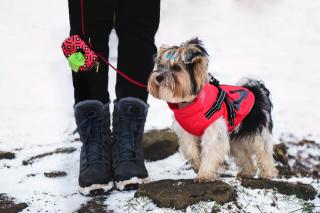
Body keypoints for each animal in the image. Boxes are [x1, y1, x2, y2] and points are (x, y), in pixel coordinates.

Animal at [148, 37, 278, 181]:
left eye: (176, 68)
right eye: (160, 66)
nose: (158, 77)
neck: (192, 103)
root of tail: (256, 89)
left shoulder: (213, 131)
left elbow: (210, 152)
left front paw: (205, 174)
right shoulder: (186, 131)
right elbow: (190, 149)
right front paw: (197, 164)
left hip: (258, 131)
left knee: (264, 150)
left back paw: (268, 173)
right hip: (236, 138)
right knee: (243, 153)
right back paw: (247, 172)